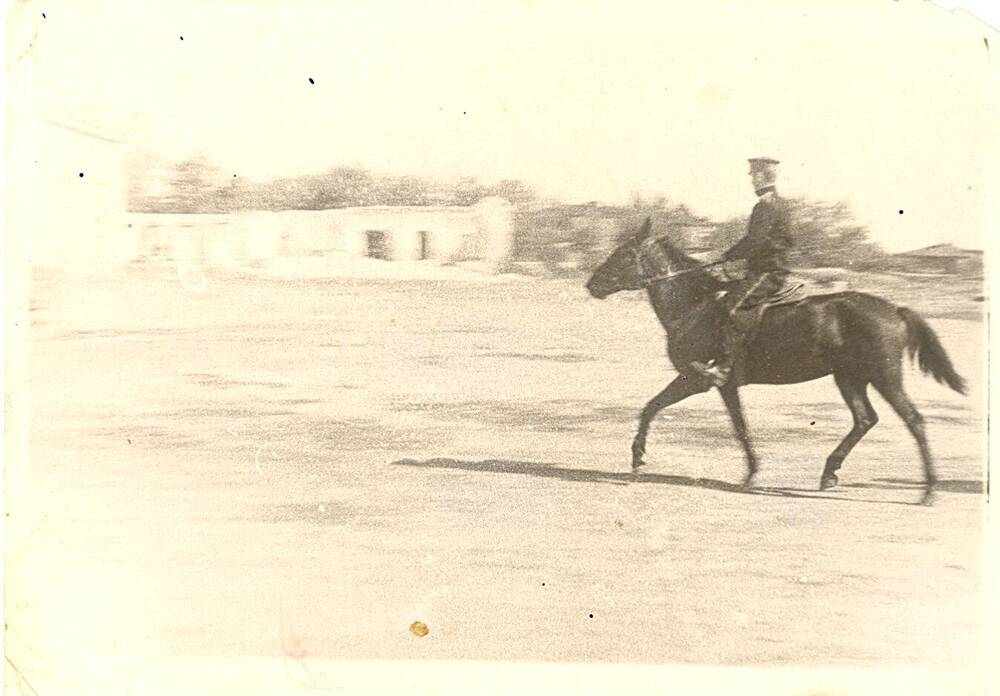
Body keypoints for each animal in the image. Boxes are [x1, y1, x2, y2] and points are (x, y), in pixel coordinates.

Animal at [584, 218, 968, 506]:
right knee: (864, 419)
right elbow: (666, 410)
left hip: (884, 376)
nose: (591, 285)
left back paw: (928, 491)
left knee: (914, 421)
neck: (696, 306)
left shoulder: (701, 379)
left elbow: (716, 420)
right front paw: (639, 458)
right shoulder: (721, 386)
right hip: (849, 377)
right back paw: (829, 473)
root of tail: (895, 309)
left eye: (623, 253)